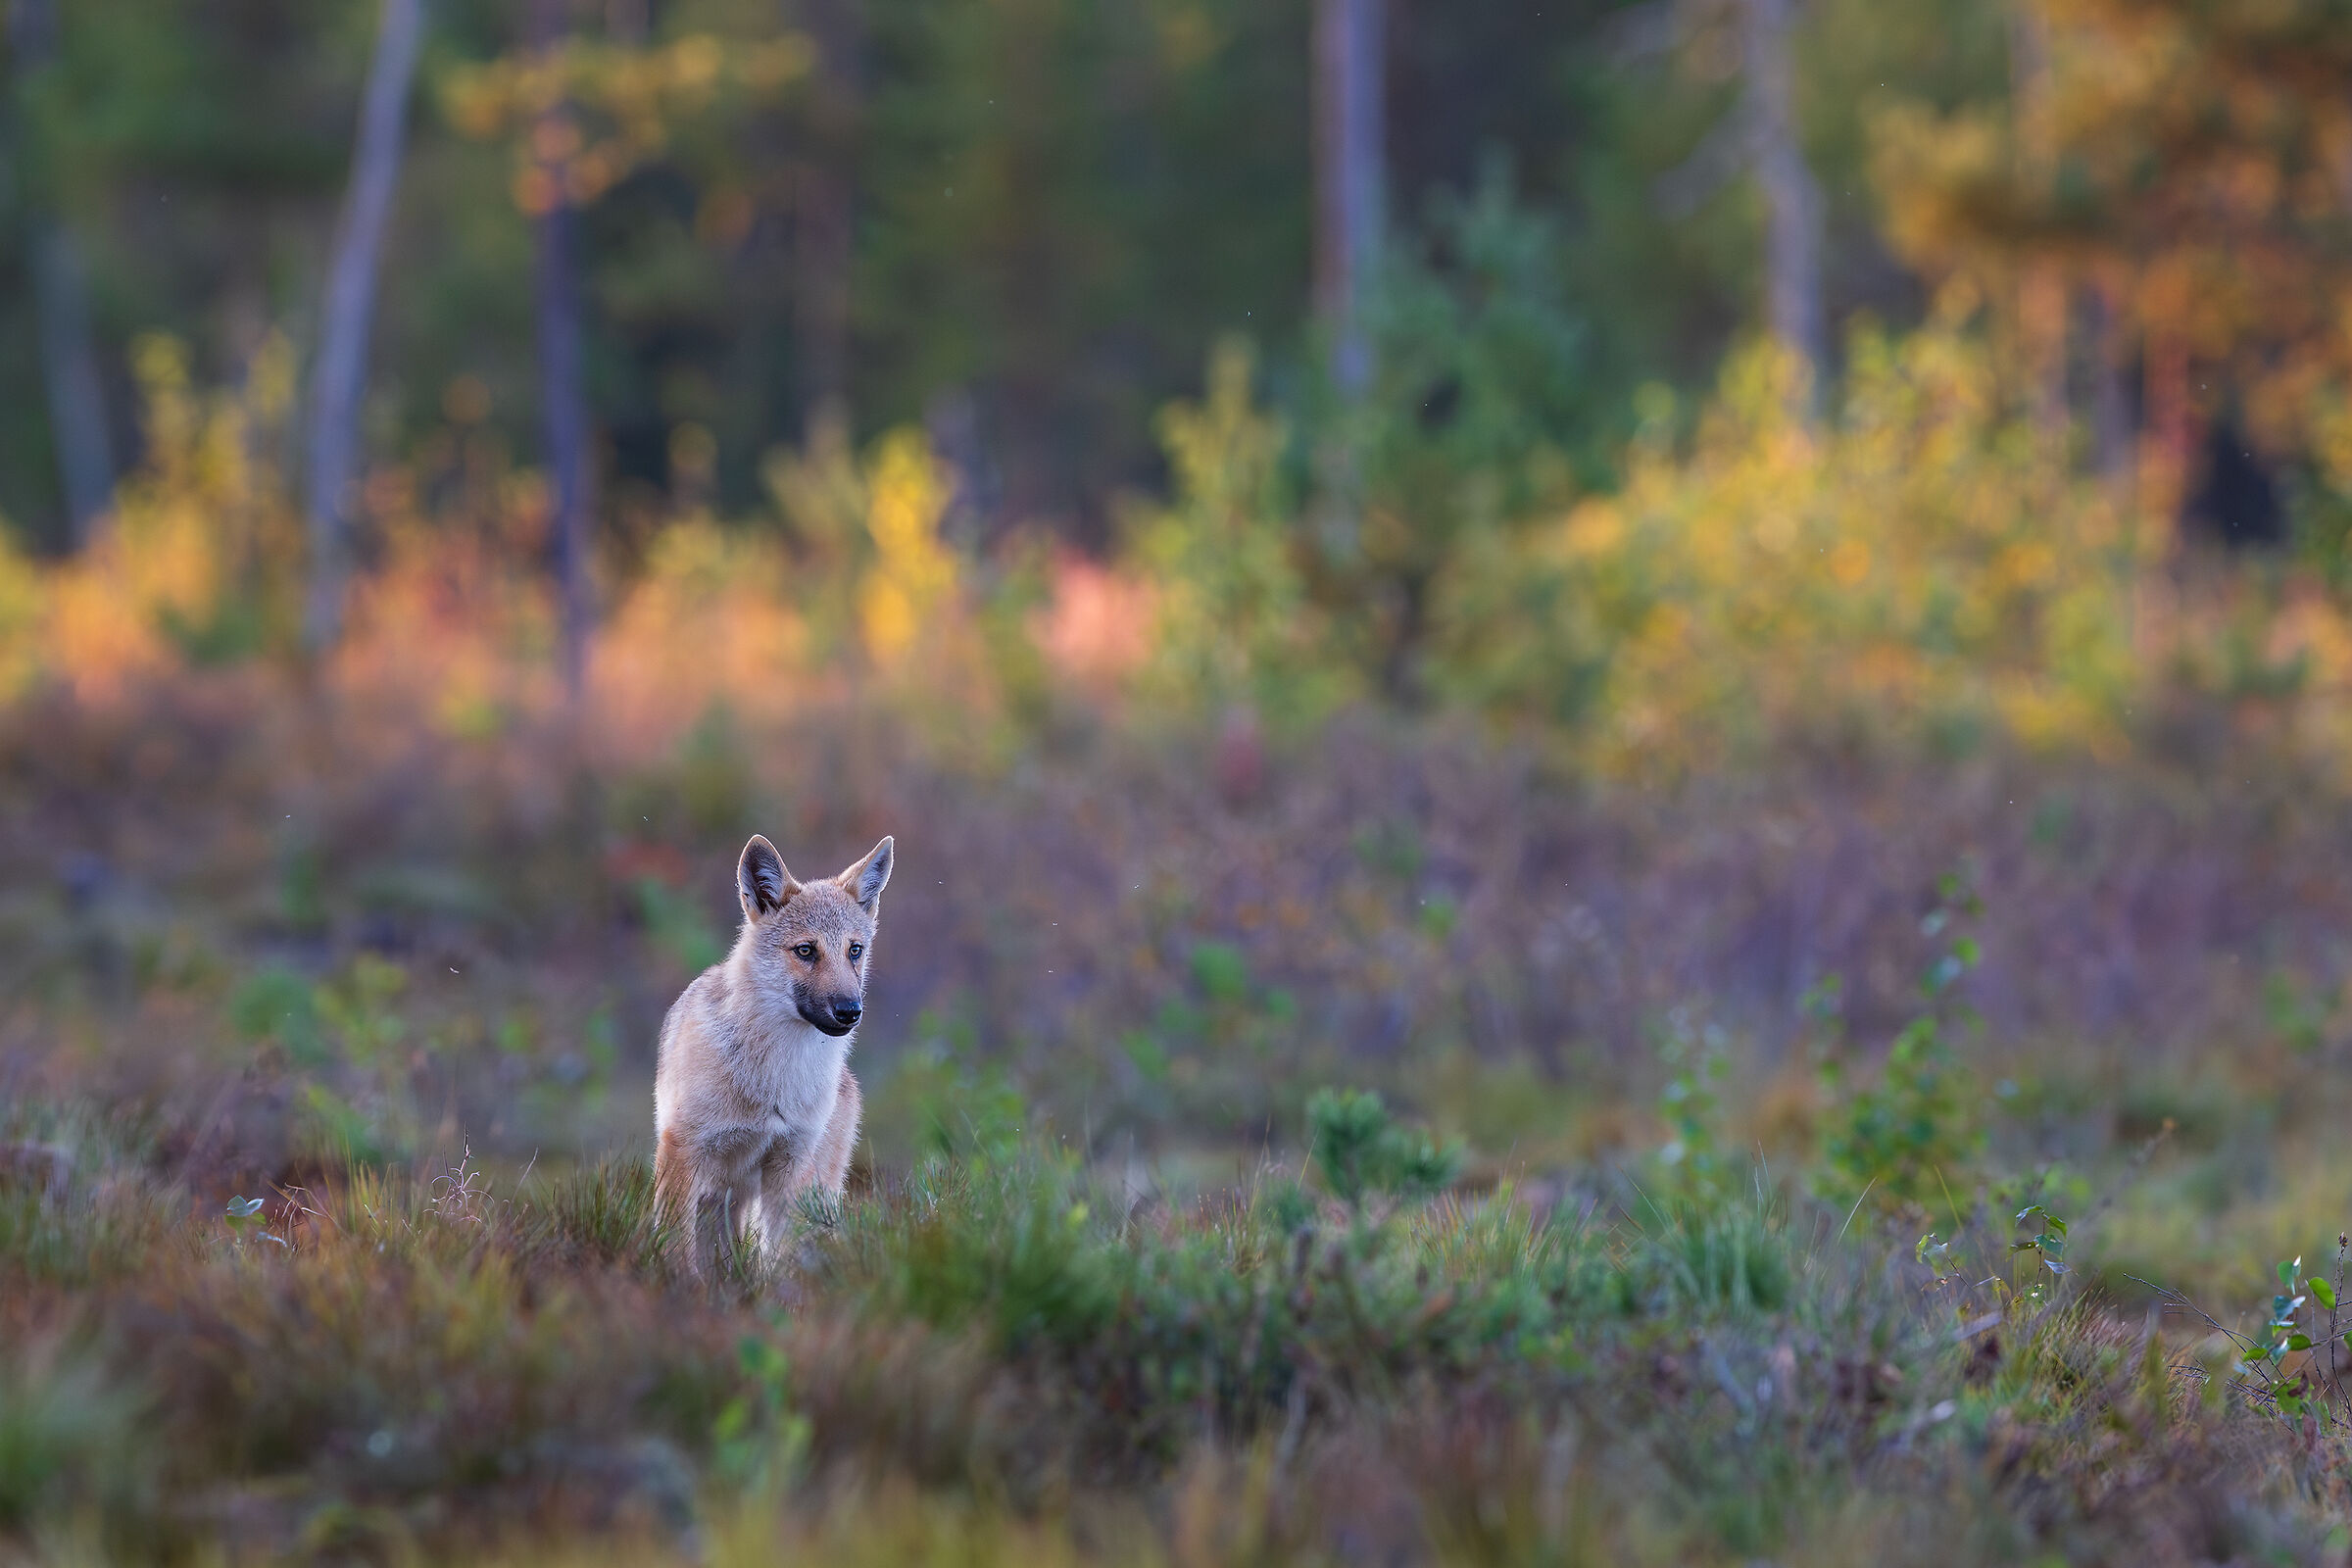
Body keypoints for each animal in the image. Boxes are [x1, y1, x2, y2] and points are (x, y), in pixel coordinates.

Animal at [652, 832, 892, 1274]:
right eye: (805, 951)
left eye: (854, 950)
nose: (850, 1011)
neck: (773, 1080)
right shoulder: (683, 1148)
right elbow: (676, 1245)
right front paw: (680, 1284)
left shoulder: (790, 1160)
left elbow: (781, 1256)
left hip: (810, 1187)